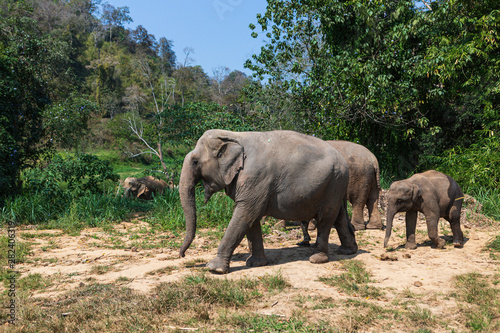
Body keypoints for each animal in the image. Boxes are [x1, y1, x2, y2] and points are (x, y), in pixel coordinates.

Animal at [180, 129, 360, 272]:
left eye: (195, 161)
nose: (182, 255)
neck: (234, 135)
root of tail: (342, 160)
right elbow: (251, 219)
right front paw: (255, 263)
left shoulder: (256, 178)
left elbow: (245, 214)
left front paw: (213, 269)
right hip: (335, 184)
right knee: (338, 216)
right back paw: (348, 251)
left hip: (334, 181)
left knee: (326, 218)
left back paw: (317, 259)